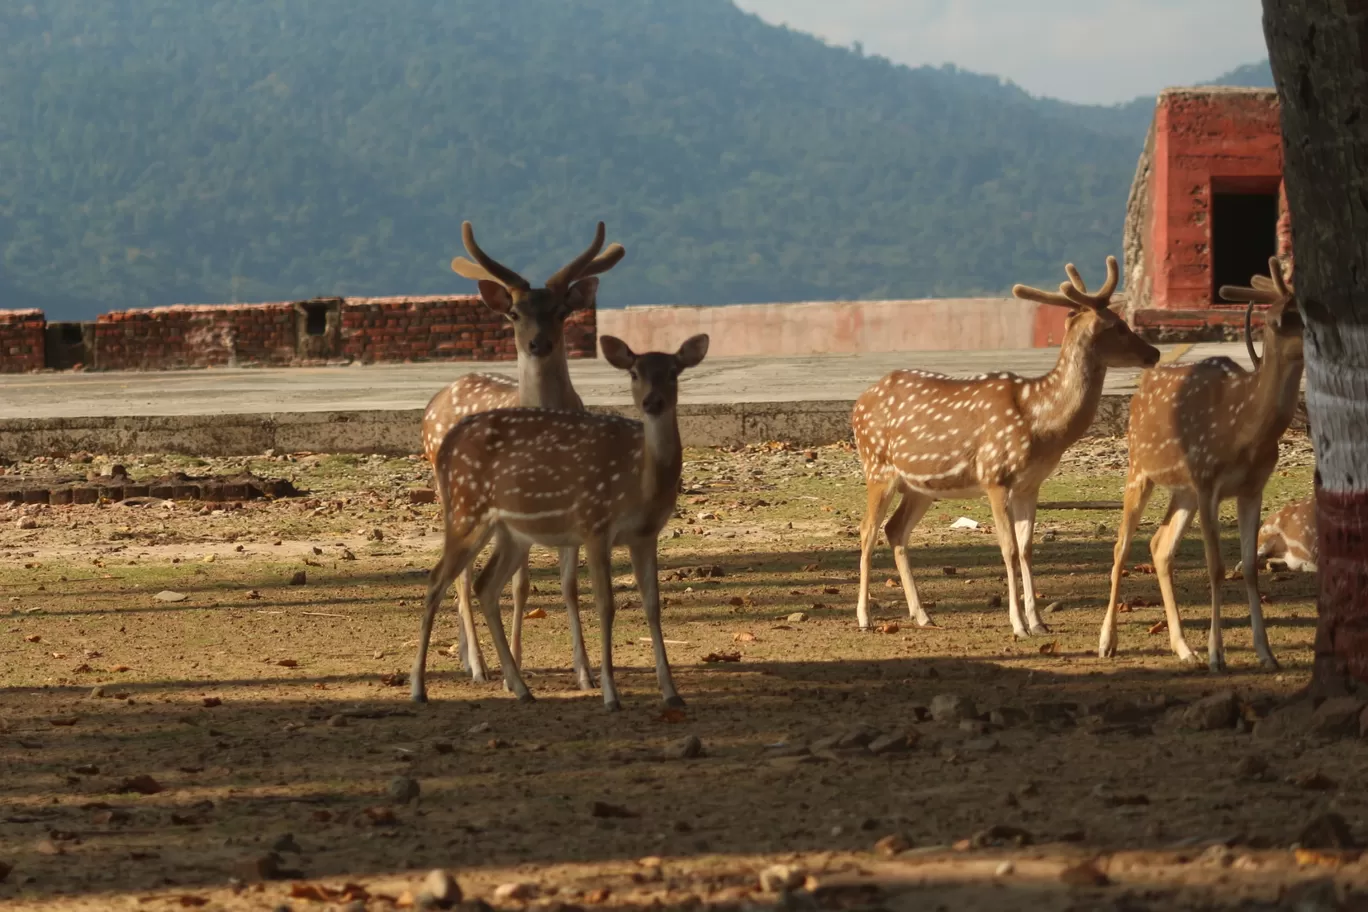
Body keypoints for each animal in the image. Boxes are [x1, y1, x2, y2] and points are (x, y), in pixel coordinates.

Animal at [407, 332, 711, 711]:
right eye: (634, 373)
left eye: (673, 372)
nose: (652, 402)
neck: (640, 482)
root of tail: (447, 442)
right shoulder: (595, 522)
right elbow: (605, 605)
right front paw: (610, 695)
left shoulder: (646, 534)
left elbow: (653, 605)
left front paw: (671, 693)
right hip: (466, 509)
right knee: (437, 579)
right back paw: (419, 688)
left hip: (511, 532)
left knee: (485, 585)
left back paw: (521, 687)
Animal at [418, 222, 626, 691]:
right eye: (514, 313)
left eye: (562, 311)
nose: (538, 343)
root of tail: (438, 398)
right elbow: (521, 584)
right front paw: (512, 663)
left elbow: (566, 585)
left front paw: (585, 672)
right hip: (452, 496)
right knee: (460, 577)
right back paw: (479, 666)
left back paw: (467, 657)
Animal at [848, 258, 1160, 634]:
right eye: (1118, 326)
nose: (1154, 353)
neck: (1041, 421)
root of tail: (858, 404)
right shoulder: (995, 476)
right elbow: (1008, 549)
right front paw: (1018, 624)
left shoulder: (1030, 484)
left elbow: (1026, 549)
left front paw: (1038, 622)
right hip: (877, 465)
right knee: (867, 530)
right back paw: (864, 618)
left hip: (921, 485)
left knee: (895, 530)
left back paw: (922, 615)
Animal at [1094, 257, 1307, 669]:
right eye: (1282, 318)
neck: (1246, 431)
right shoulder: (1208, 479)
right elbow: (1216, 566)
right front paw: (1216, 655)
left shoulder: (1252, 487)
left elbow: (1250, 568)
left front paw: (1266, 653)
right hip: (1140, 470)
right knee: (1121, 547)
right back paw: (1107, 642)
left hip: (1183, 491)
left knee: (1160, 546)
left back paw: (1182, 648)